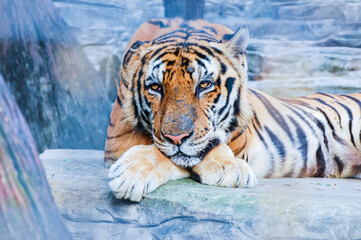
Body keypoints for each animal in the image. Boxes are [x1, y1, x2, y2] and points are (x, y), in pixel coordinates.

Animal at [104, 17, 360, 202]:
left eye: (204, 84)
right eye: (156, 87)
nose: (177, 138)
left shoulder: (239, 145)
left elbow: (193, 152)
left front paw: (229, 168)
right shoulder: (118, 143)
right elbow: (166, 152)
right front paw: (131, 173)